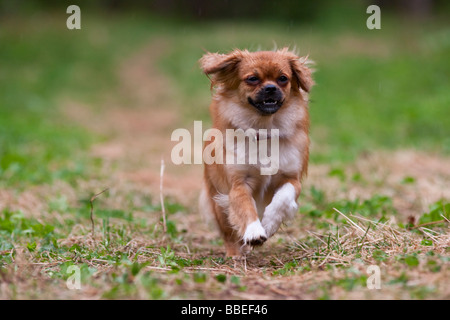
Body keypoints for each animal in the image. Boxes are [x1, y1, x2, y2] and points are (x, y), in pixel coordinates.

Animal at [199, 48, 312, 258]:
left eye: (283, 78)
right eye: (252, 79)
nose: (270, 88)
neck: (264, 129)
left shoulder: (292, 179)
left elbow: (283, 199)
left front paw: (268, 225)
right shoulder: (237, 185)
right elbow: (245, 207)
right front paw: (254, 232)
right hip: (217, 199)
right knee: (228, 233)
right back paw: (235, 254)